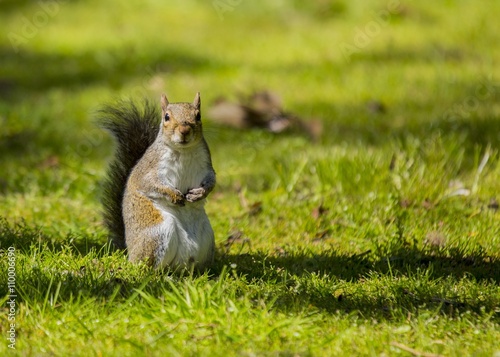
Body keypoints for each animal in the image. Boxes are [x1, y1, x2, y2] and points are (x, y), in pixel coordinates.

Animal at [97, 93, 215, 268]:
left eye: (198, 115)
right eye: (166, 117)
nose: (184, 130)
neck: (184, 151)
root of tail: (130, 251)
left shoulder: (207, 166)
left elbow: (212, 181)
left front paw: (200, 193)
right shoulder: (150, 169)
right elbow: (151, 184)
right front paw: (173, 195)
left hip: (207, 236)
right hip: (158, 233)